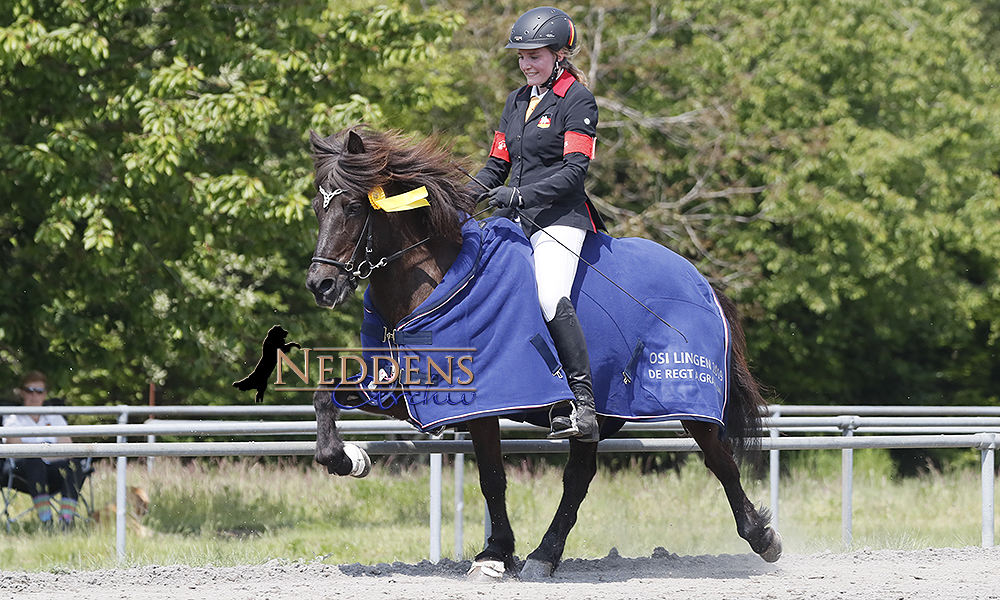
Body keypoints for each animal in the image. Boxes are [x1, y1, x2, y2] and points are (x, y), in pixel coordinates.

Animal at [302, 126, 780, 580]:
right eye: (318, 208)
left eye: (352, 207)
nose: (320, 285)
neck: (439, 281)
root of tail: (701, 283)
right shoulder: (408, 392)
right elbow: (325, 396)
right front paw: (350, 459)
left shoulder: (485, 400)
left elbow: (492, 478)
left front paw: (494, 556)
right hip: (602, 411)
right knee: (579, 477)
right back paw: (545, 555)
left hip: (687, 398)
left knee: (721, 462)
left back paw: (763, 538)